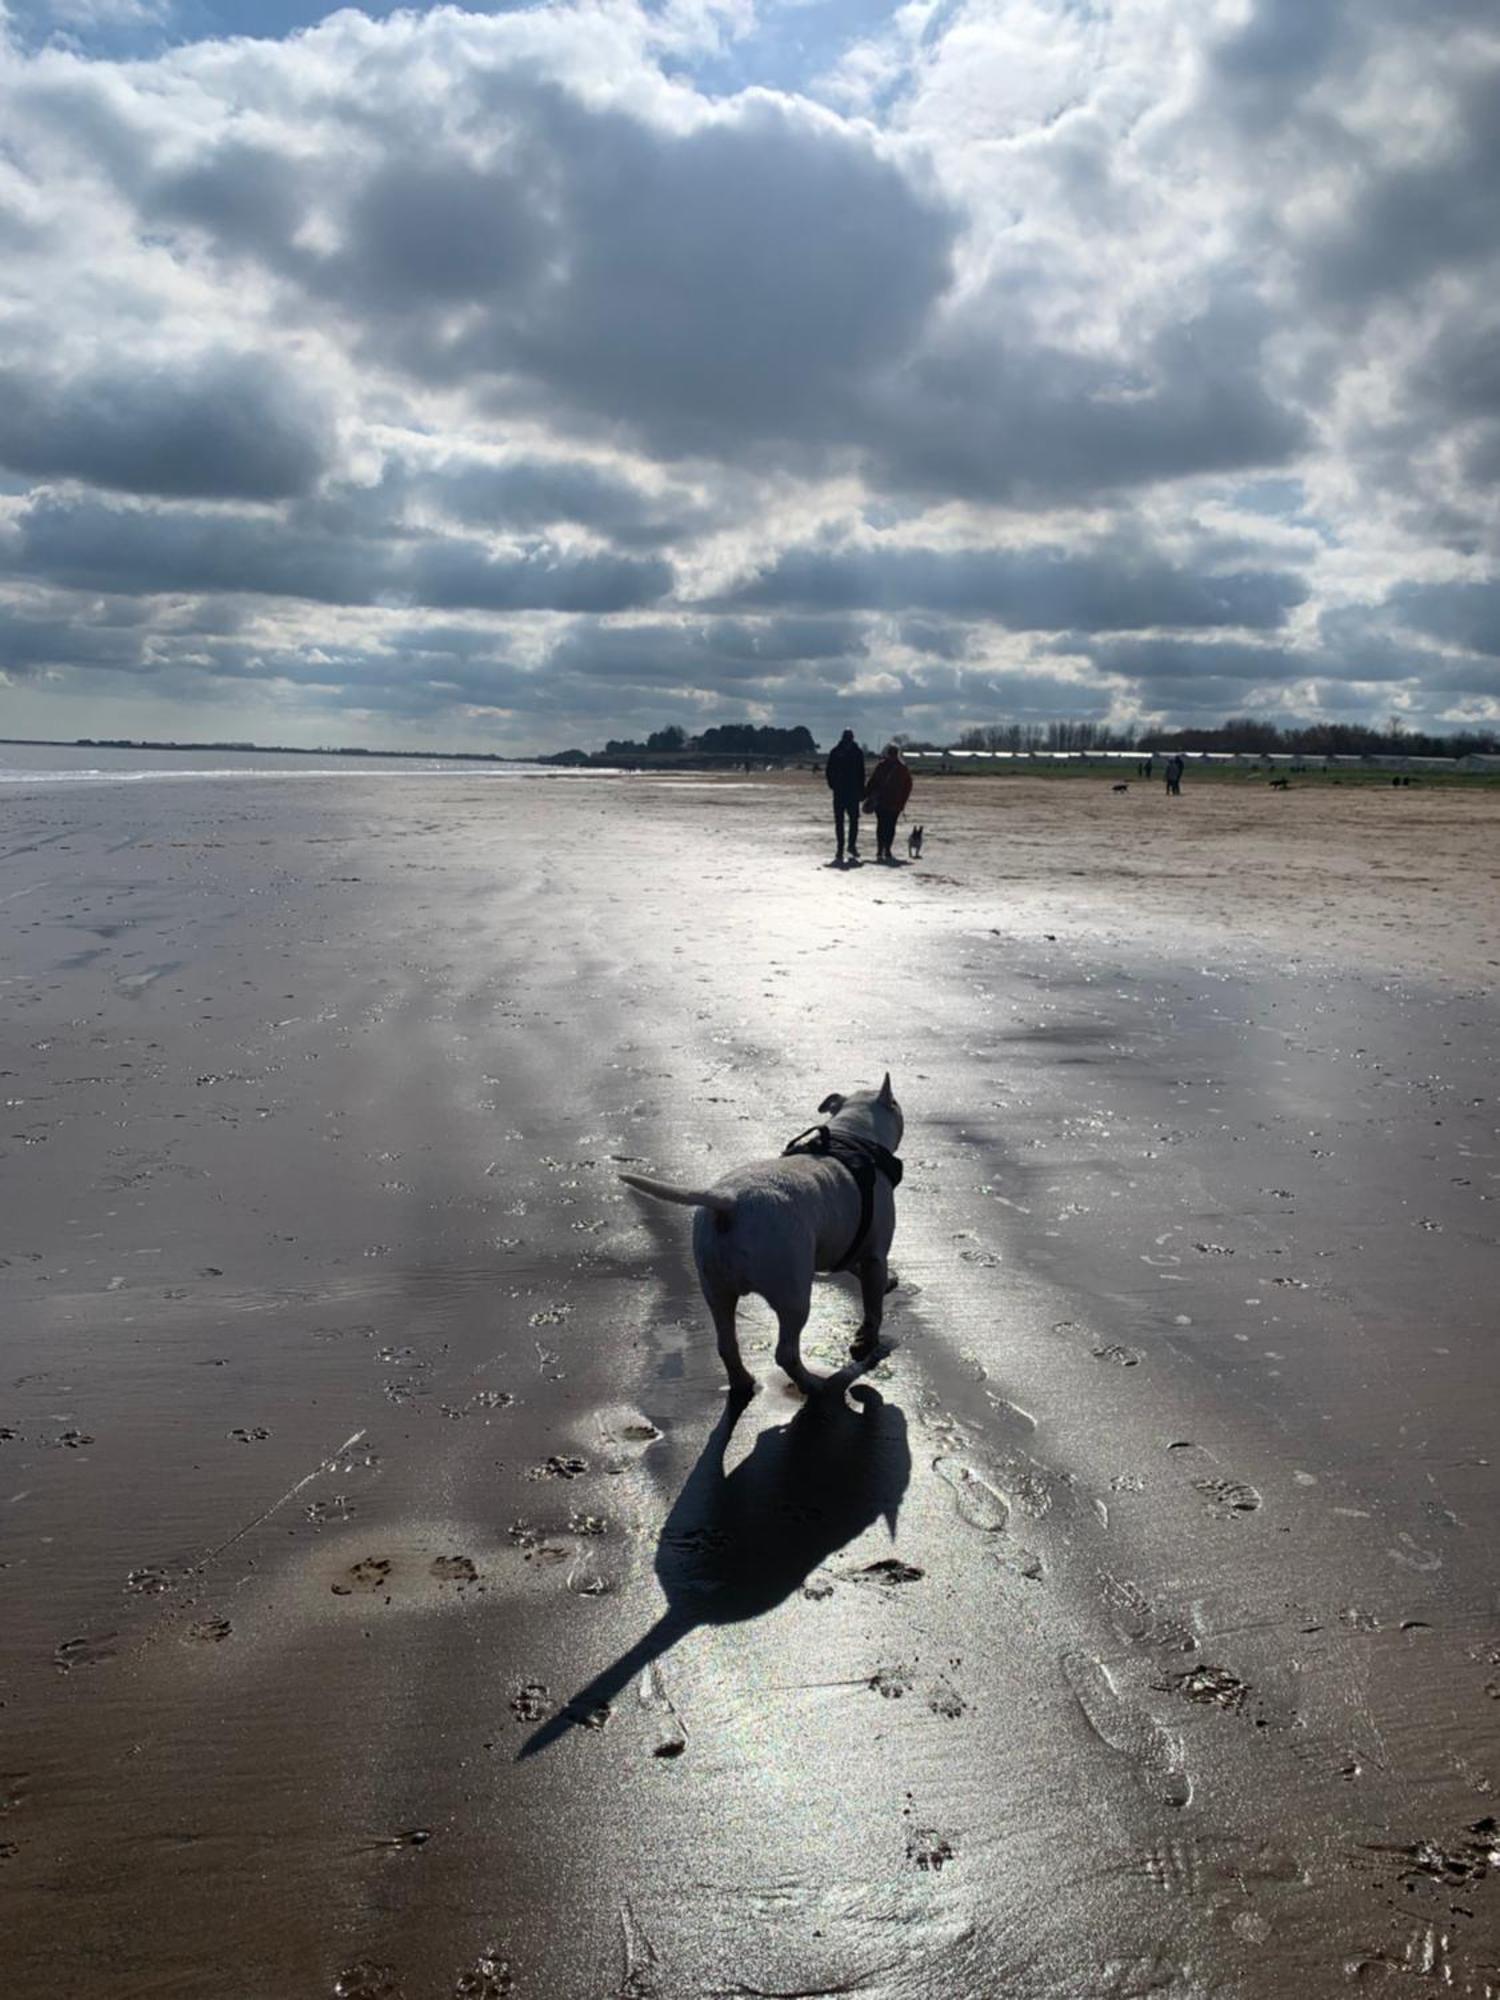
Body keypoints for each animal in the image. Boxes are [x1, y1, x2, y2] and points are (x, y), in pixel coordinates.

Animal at [620, 1080, 904, 1392]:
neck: (852, 1134)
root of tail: (729, 1201)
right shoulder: (876, 1256)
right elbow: (873, 1307)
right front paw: (868, 1341)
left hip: (716, 1290)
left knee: (726, 1344)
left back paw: (744, 1380)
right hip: (793, 1295)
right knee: (786, 1353)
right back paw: (814, 1384)